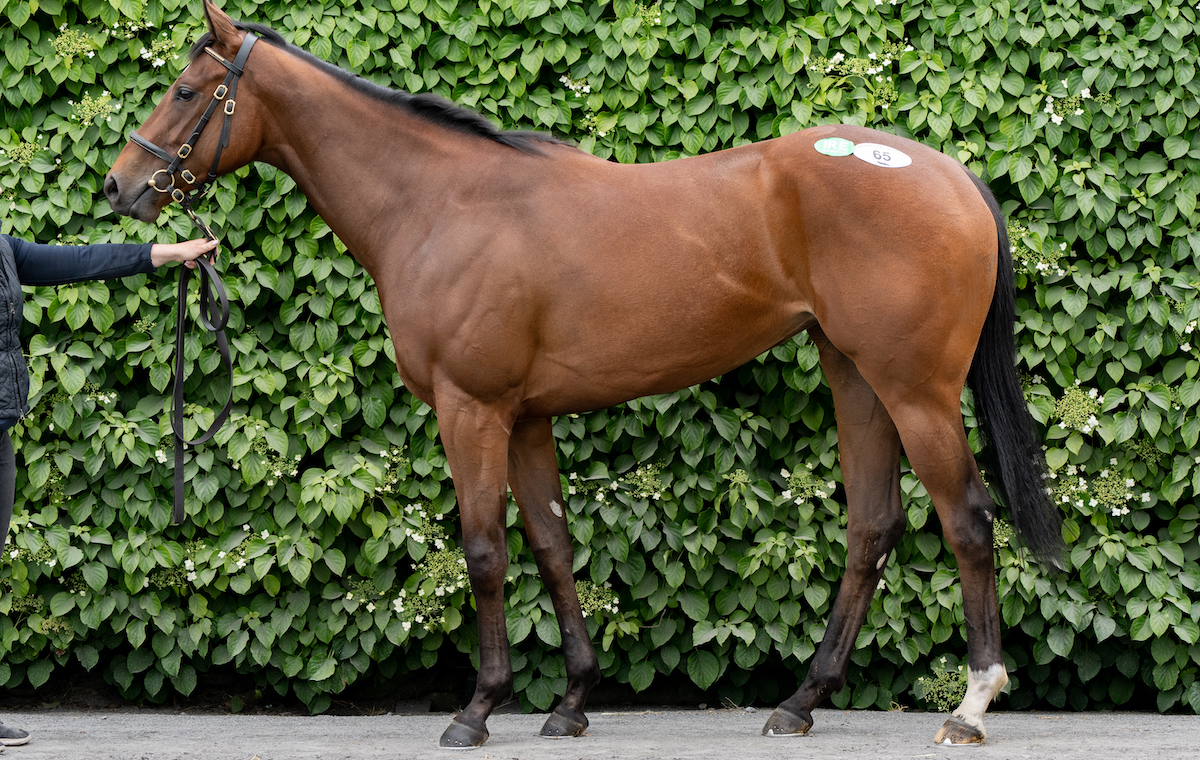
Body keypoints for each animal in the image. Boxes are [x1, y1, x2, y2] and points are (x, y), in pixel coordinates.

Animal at [103, 0, 1060, 749]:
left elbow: (485, 551)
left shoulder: (471, 409)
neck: (441, 203)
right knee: (872, 527)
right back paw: (799, 702)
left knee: (968, 520)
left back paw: (970, 706)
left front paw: (477, 710)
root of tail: (955, 177)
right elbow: (553, 546)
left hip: (915, 390)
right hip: (855, 377)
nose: (121, 188)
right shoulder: (524, 416)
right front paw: (568, 703)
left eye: (185, 91)